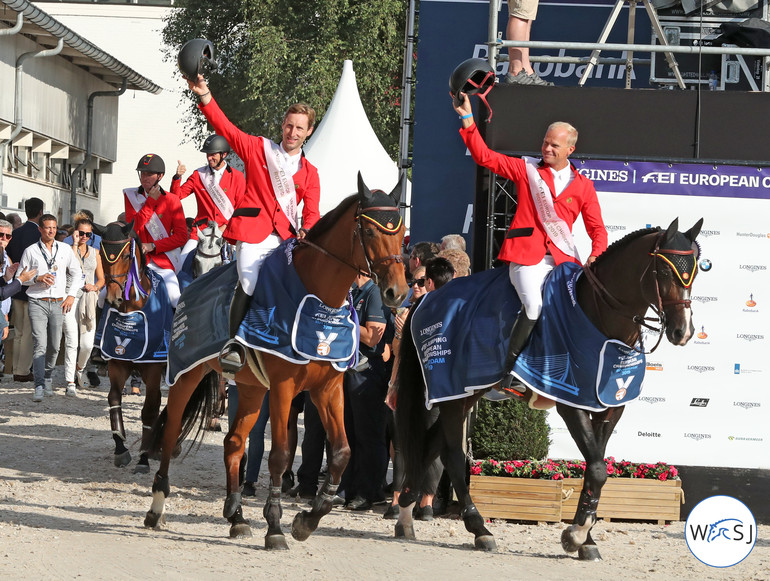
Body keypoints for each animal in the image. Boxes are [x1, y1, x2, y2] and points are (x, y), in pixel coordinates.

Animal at [100, 220, 169, 474]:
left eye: (126, 256)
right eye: (101, 254)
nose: (113, 298)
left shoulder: (153, 367)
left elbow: (149, 410)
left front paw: (143, 458)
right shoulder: (117, 362)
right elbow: (113, 399)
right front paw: (121, 449)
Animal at [142, 172, 408, 548]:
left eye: (401, 231)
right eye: (369, 232)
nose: (397, 293)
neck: (319, 297)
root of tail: (191, 287)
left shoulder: (328, 389)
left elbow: (341, 452)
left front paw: (307, 520)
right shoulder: (284, 387)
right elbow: (280, 454)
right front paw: (275, 526)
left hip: (252, 389)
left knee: (234, 443)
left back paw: (237, 517)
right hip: (187, 374)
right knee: (170, 435)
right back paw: (157, 506)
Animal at [392, 216, 700, 556]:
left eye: (696, 272)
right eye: (664, 272)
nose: (683, 331)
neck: (599, 318)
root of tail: (428, 298)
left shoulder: (608, 407)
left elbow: (595, 470)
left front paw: (586, 538)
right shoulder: (570, 402)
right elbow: (597, 468)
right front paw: (576, 535)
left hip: (466, 392)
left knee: (431, 447)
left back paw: (405, 513)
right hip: (451, 392)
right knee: (454, 457)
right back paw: (479, 530)